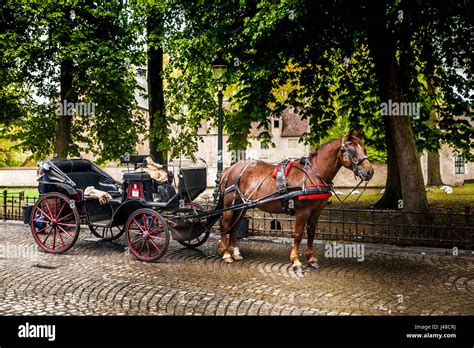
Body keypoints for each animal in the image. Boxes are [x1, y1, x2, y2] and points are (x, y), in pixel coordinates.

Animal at [218, 129, 374, 270]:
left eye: (364, 148)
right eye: (352, 150)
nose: (369, 172)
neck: (313, 174)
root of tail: (229, 169)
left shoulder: (316, 211)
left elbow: (311, 233)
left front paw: (311, 258)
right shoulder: (303, 211)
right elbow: (298, 235)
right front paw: (295, 260)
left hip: (242, 206)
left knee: (235, 227)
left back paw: (235, 252)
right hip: (230, 206)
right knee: (225, 225)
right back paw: (226, 254)